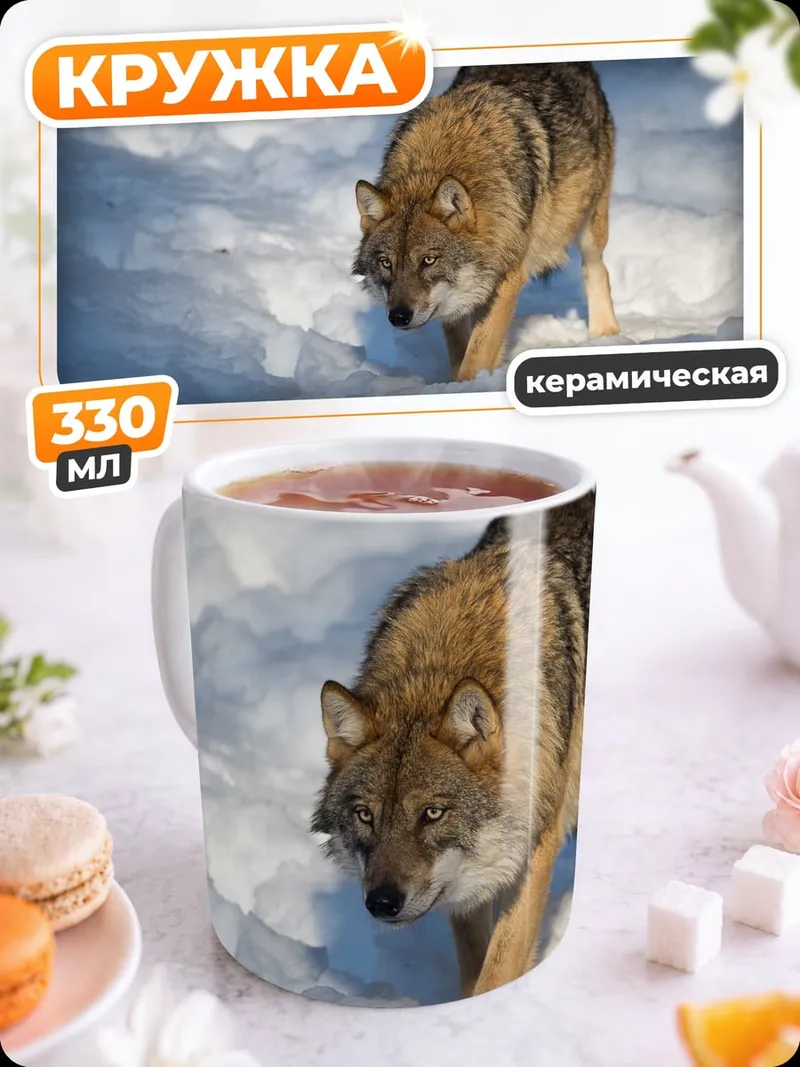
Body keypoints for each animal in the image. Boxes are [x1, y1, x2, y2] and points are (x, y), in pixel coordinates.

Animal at [311, 494, 594, 997]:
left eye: (432, 813)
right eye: (365, 814)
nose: (381, 902)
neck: (440, 667)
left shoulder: (536, 842)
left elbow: (500, 964)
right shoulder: (465, 882)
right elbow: (473, 958)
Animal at [352, 63, 620, 382]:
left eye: (428, 260)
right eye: (386, 263)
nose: (398, 316)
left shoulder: (507, 278)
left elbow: (476, 355)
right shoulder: (454, 302)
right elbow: (460, 351)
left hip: (588, 227)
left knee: (596, 269)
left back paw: (605, 336)